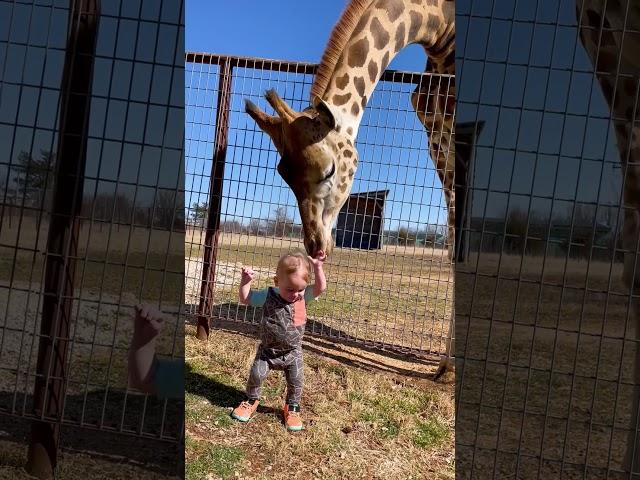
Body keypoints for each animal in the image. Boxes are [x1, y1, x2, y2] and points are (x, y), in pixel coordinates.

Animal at [242, 0, 458, 376]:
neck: (440, 26)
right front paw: (447, 365)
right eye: (283, 174)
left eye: (329, 169)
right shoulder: (438, 134)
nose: (316, 245)